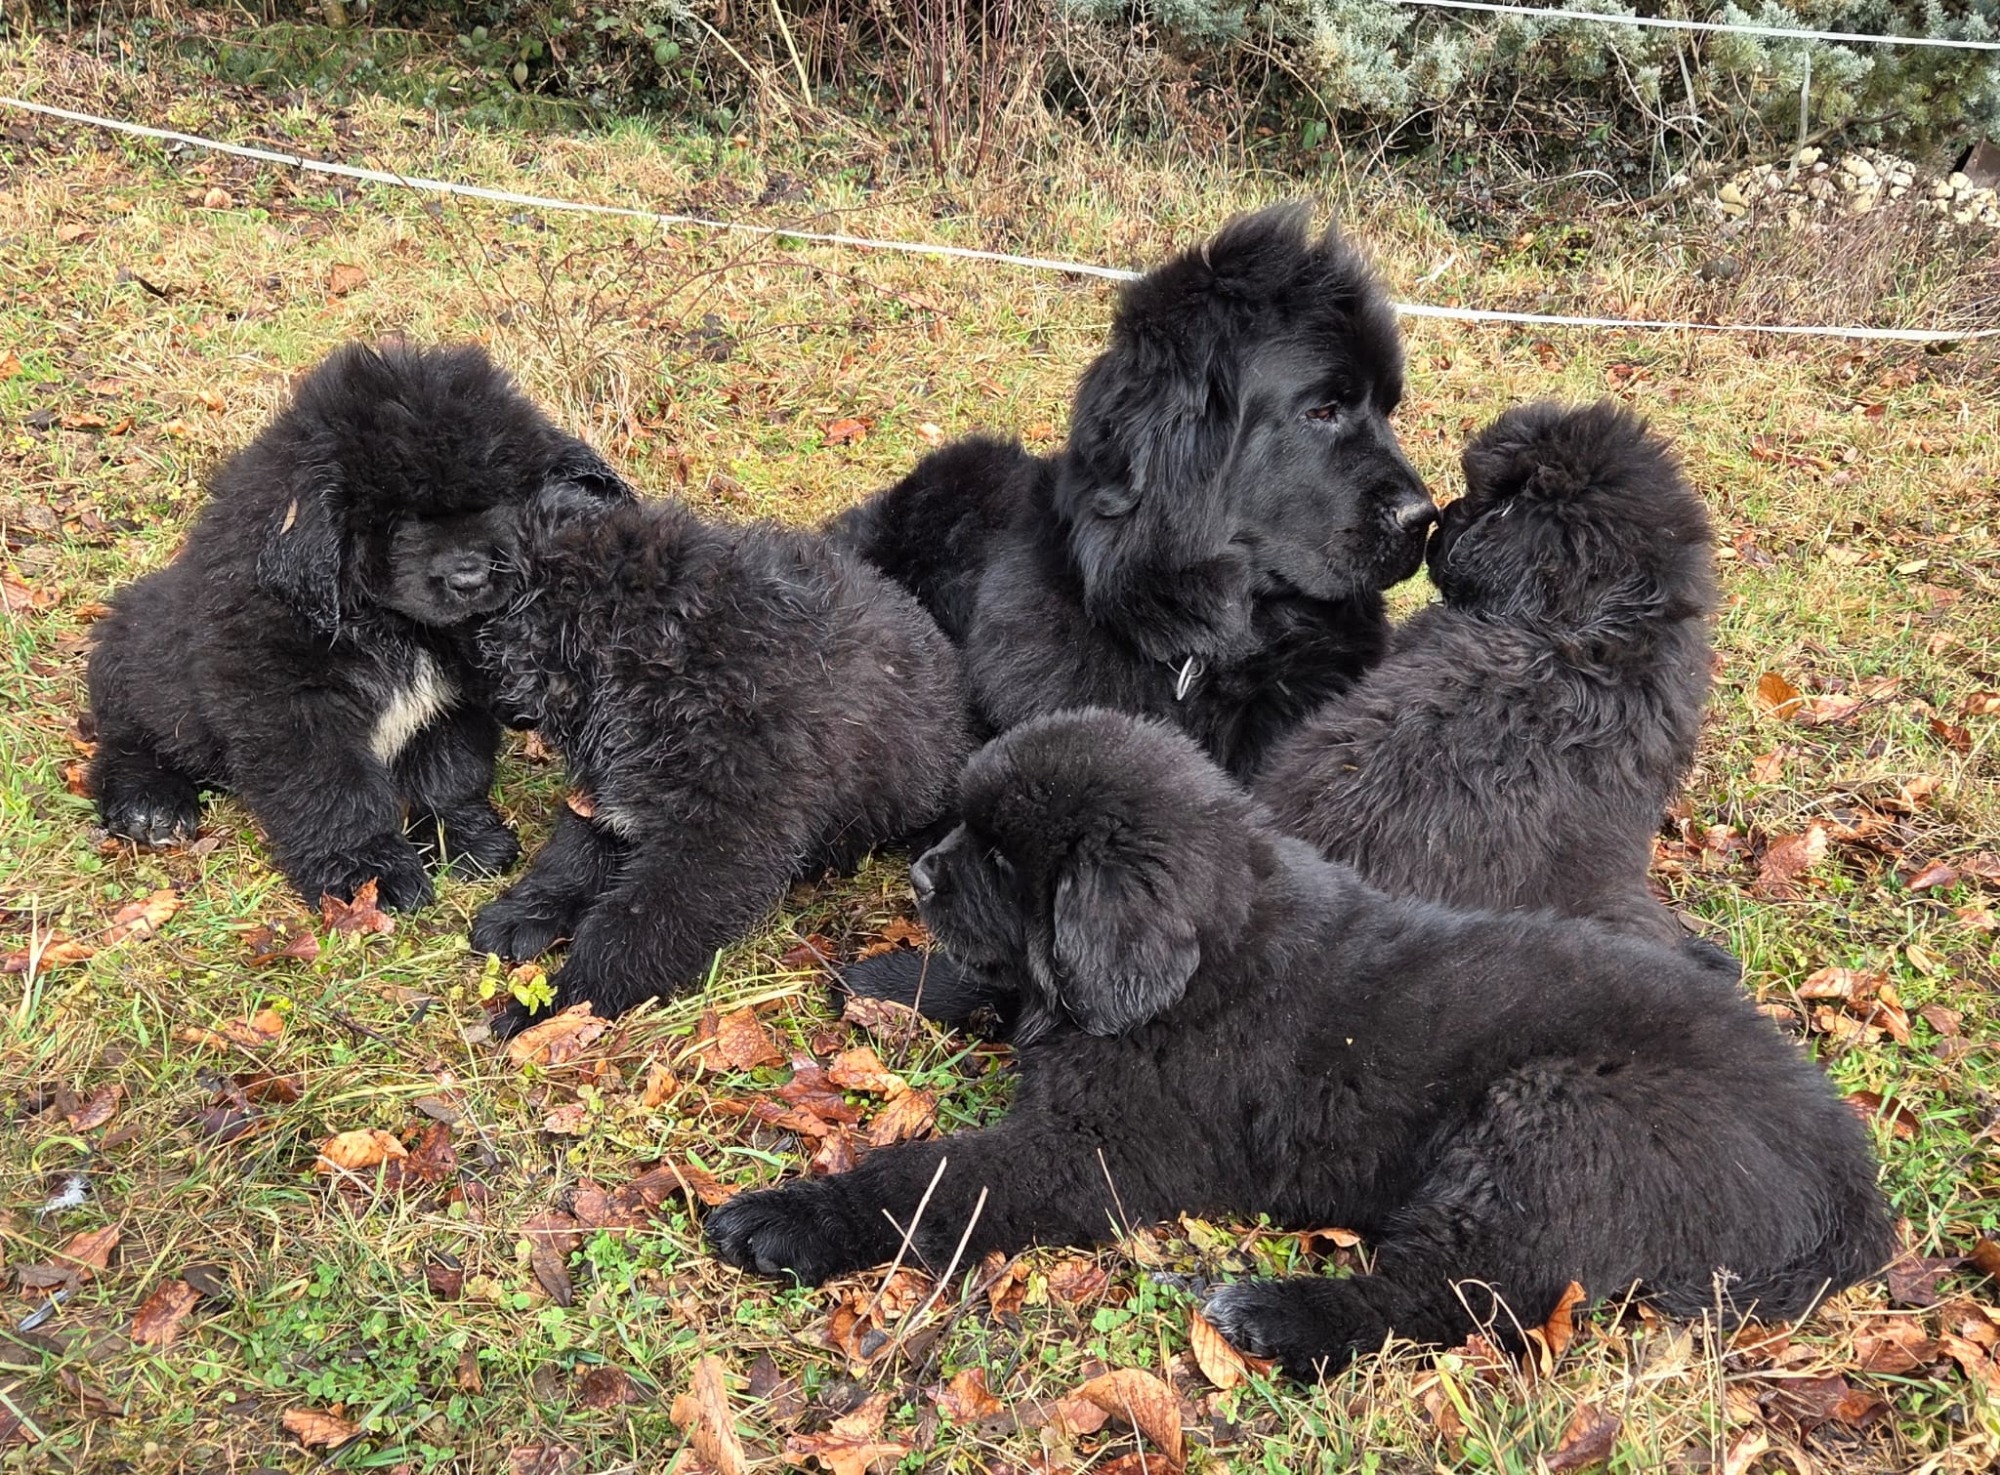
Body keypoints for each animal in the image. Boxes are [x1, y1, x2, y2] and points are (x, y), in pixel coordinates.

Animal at [86, 342, 631, 910]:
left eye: (492, 501)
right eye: (401, 519)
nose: (470, 577)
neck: (388, 623)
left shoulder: (450, 699)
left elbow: (448, 772)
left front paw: (460, 838)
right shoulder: (290, 706)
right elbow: (333, 792)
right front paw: (369, 872)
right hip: (142, 657)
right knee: (127, 737)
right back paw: (149, 803)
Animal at [468, 494, 974, 1038]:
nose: (491, 706)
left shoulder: (720, 837)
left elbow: (632, 928)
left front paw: (556, 1006)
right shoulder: (611, 786)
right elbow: (574, 853)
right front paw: (526, 912)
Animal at [709, 711, 1890, 1377]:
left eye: (1003, 859)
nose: (916, 876)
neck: (1205, 952)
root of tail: (1849, 1180)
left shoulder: (1095, 1153)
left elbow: (936, 1178)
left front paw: (791, 1217)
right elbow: (1003, 990)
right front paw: (882, 979)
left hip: (1549, 1121)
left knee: (1459, 1297)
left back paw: (1277, 1313)